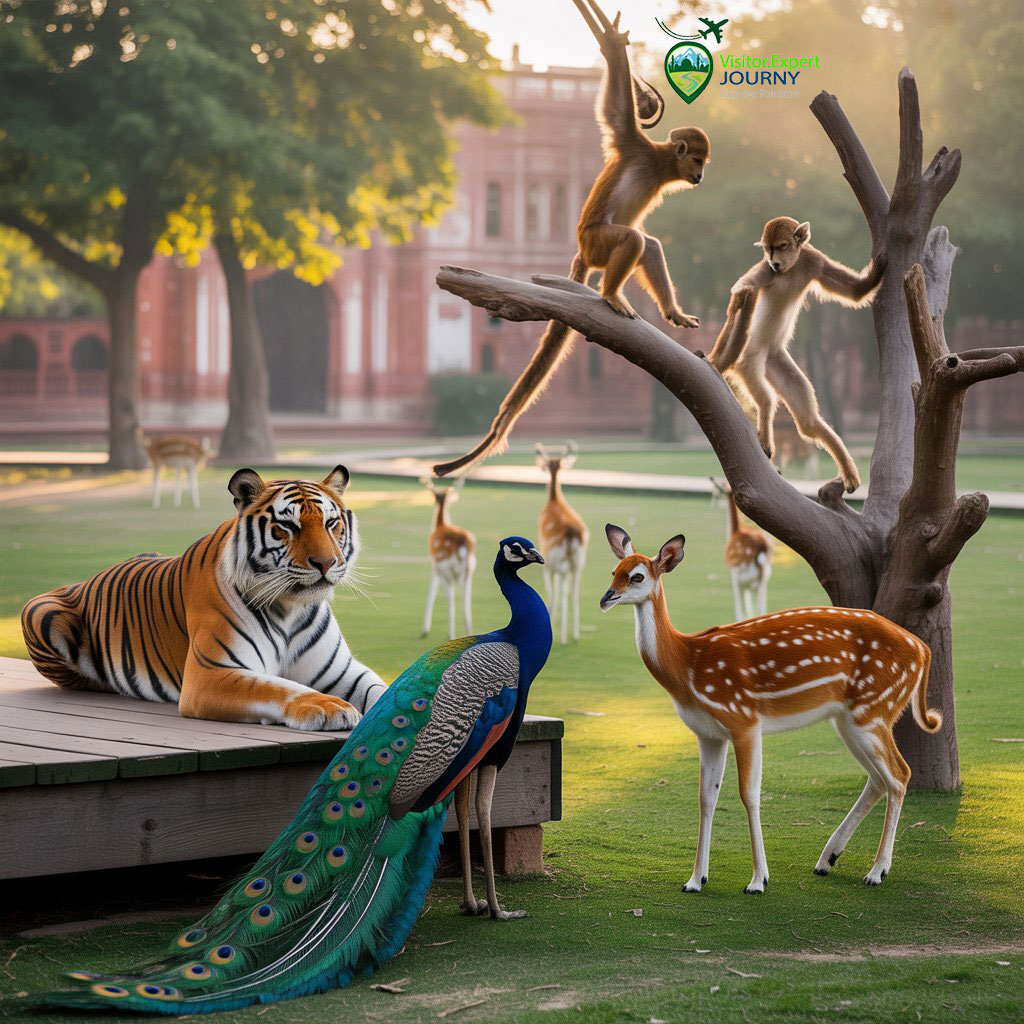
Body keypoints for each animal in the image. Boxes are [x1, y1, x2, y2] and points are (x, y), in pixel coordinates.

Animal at [433, 0, 709, 478]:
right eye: (696, 159)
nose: (701, 176)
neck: (657, 165)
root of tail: (581, 250)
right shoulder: (631, 141)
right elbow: (616, 107)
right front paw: (613, 44)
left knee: (648, 245)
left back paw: (662, 309)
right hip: (596, 242)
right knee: (632, 241)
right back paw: (612, 295)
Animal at [707, 216, 886, 494]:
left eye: (781, 246)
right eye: (767, 249)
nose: (774, 261)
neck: (791, 268)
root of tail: (765, 355)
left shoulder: (813, 261)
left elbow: (855, 291)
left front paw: (877, 271)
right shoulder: (766, 271)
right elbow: (743, 291)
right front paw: (737, 299)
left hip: (776, 361)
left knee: (808, 421)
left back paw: (847, 470)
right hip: (749, 361)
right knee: (766, 398)